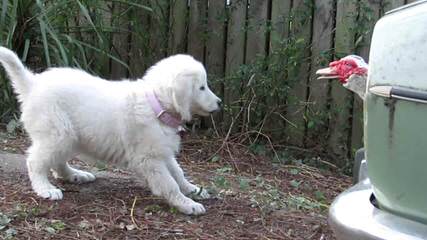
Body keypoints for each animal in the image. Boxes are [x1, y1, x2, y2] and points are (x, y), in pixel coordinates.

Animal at [0, 46, 222, 215]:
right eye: (202, 87)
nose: (220, 102)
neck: (155, 105)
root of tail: (32, 84)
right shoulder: (149, 159)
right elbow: (169, 183)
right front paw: (187, 204)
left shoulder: (162, 151)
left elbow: (178, 173)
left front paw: (193, 189)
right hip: (58, 133)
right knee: (35, 161)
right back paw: (45, 188)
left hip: (69, 137)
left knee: (57, 162)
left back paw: (75, 175)